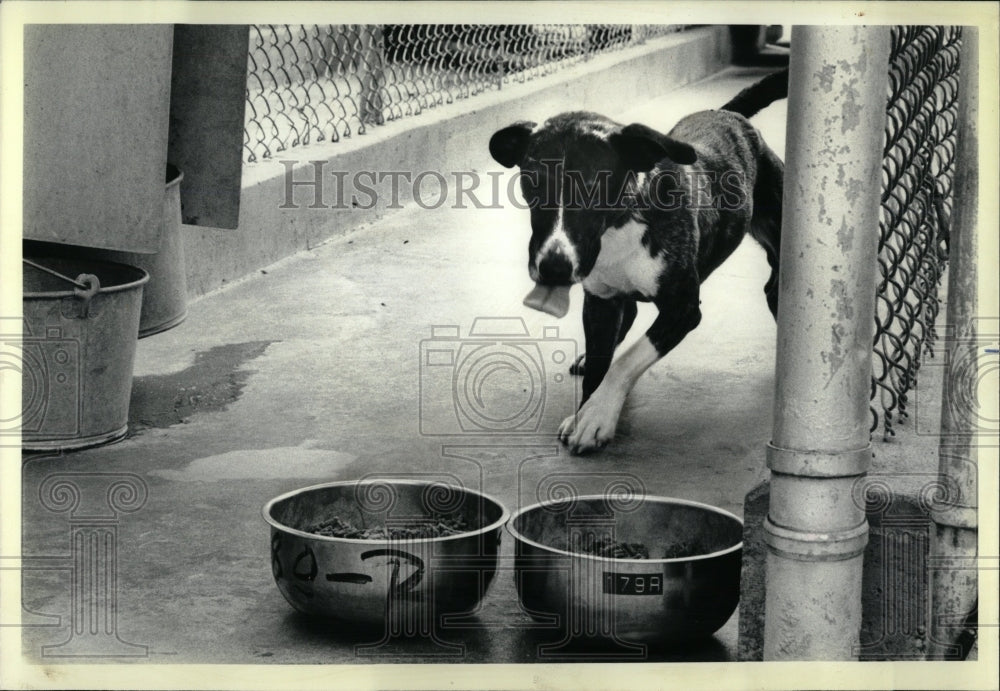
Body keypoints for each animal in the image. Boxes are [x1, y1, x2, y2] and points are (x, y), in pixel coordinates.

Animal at [492, 69, 788, 454]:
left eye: (595, 185)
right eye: (532, 182)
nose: (553, 268)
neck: (620, 225)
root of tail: (729, 115)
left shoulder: (683, 309)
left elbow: (627, 361)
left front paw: (596, 416)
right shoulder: (601, 301)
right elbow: (601, 363)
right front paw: (587, 409)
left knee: (775, 285)